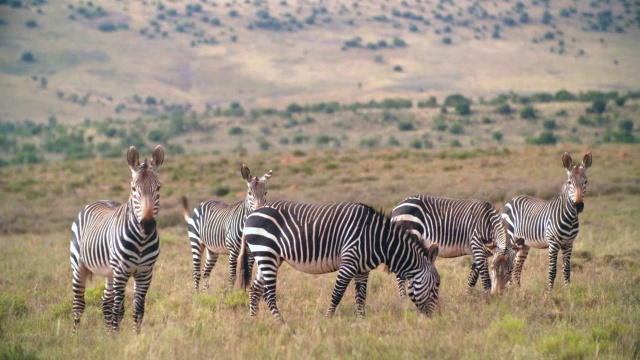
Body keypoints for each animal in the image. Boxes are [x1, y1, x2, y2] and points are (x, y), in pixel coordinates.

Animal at [69, 145, 164, 334]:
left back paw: (108, 335)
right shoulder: (121, 271)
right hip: (79, 265)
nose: (147, 224)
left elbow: (138, 309)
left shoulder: (145, 273)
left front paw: (135, 335)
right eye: (133, 189)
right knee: (79, 304)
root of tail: (99, 200)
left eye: (158, 188)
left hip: (109, 272)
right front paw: (117, 337)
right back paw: (74, 335)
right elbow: (117, 308)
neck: (141, 241)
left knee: (105, 301)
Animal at [238, 201, 442, 322]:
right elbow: (337, 294)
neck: (378, 240)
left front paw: (362, 322)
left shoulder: (362, 269)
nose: (436, 318)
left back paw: (253, 320)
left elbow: (361, 296)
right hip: (266, 252)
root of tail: (252, 213)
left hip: (269, 256)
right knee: (268, 293)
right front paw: (327, 319)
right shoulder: (349, 262)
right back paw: (280, 322)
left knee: (255, 289)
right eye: (437, 285)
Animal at [390, 195, 520, 294]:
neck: (487, 224)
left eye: (510, 270)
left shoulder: (478, 251)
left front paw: (467, 296)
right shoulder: (477, 246)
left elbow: (472, 277)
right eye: (492, 267)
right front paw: (488, 300)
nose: (497, 294)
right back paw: (403, 300)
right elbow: (485, 278)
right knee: (400, 275)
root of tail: (396, 207)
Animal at [502, 150, 592, 292]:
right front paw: (549, 292)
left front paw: (568, 290)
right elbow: (552, 270)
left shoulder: (569, 244)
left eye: (586, 181)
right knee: (509, 262)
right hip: (511, 238)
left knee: (517, 267)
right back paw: (510, 289)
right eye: (569, 182)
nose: (578, 205)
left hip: (524, 244)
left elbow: (567, 269)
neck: (570, 219)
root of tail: (512, 199)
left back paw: (517, 290)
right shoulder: (553, 243)